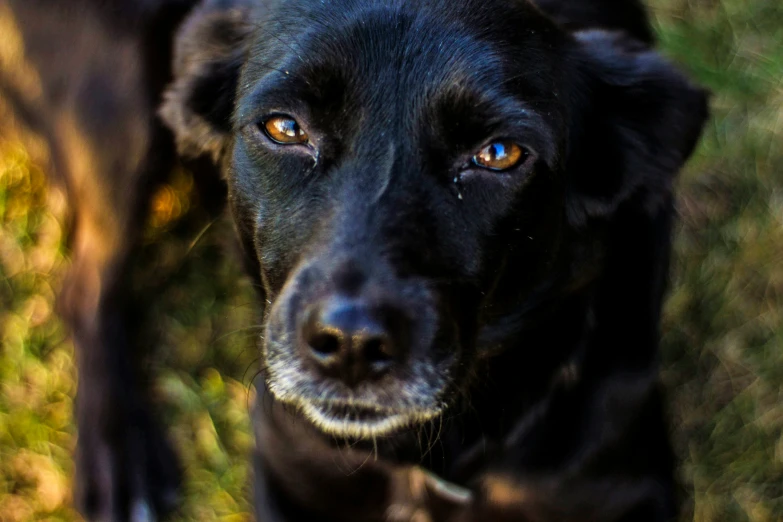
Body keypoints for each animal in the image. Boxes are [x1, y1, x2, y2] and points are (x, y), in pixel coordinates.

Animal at [1, 0, 712, 516]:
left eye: (498, 153)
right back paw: (118, 457)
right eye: (285, 127)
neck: (428, 461)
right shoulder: (289, 477)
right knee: (86, 286)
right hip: (118, 108)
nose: (349, 345)